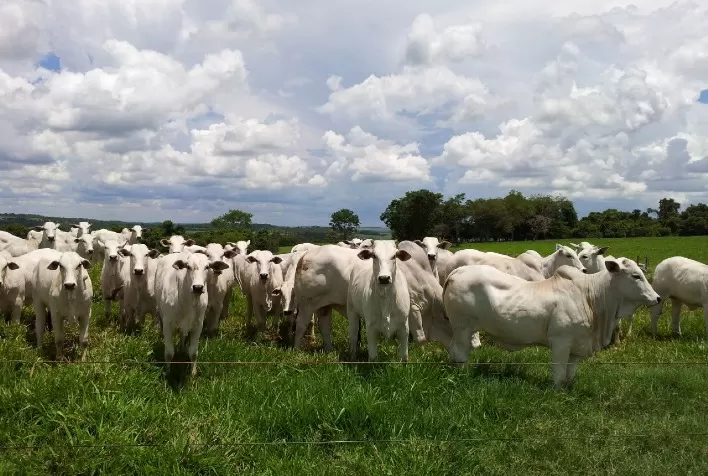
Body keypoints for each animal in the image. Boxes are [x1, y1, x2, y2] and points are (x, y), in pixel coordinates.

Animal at [442, 259, 660, 390]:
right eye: (635, 276)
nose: (657, 298)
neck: (591, 296)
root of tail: (457, 272)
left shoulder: (578, 345)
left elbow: (570, 372)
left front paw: (569, 387)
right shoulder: (561, 342)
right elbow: (559, 372)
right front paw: (557, 391)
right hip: (462, 327)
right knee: (459, 352)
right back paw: (464, 374)